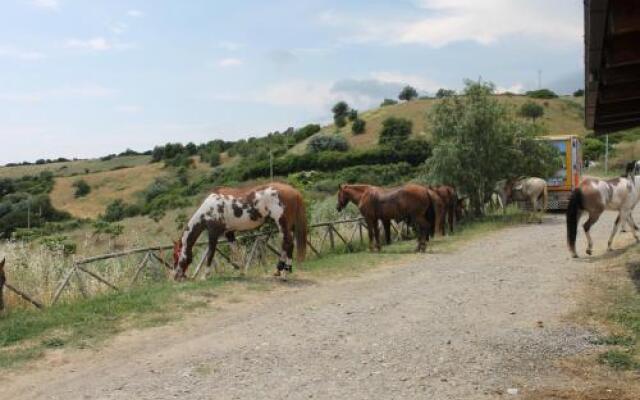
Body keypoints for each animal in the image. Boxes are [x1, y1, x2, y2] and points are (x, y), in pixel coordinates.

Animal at [172, 183, 308, 280]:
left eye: (176, 256)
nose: (175, 277)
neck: (209, 208)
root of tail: (294, 191)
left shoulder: (213, 234)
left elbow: (210, 253)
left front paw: (205, 275)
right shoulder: (229, 233)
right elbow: (236, 251)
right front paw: (241, 271)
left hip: (282, 224)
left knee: (288, 244)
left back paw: (284, 272)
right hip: (289, 226)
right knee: (287, 244)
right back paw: (281, 270)